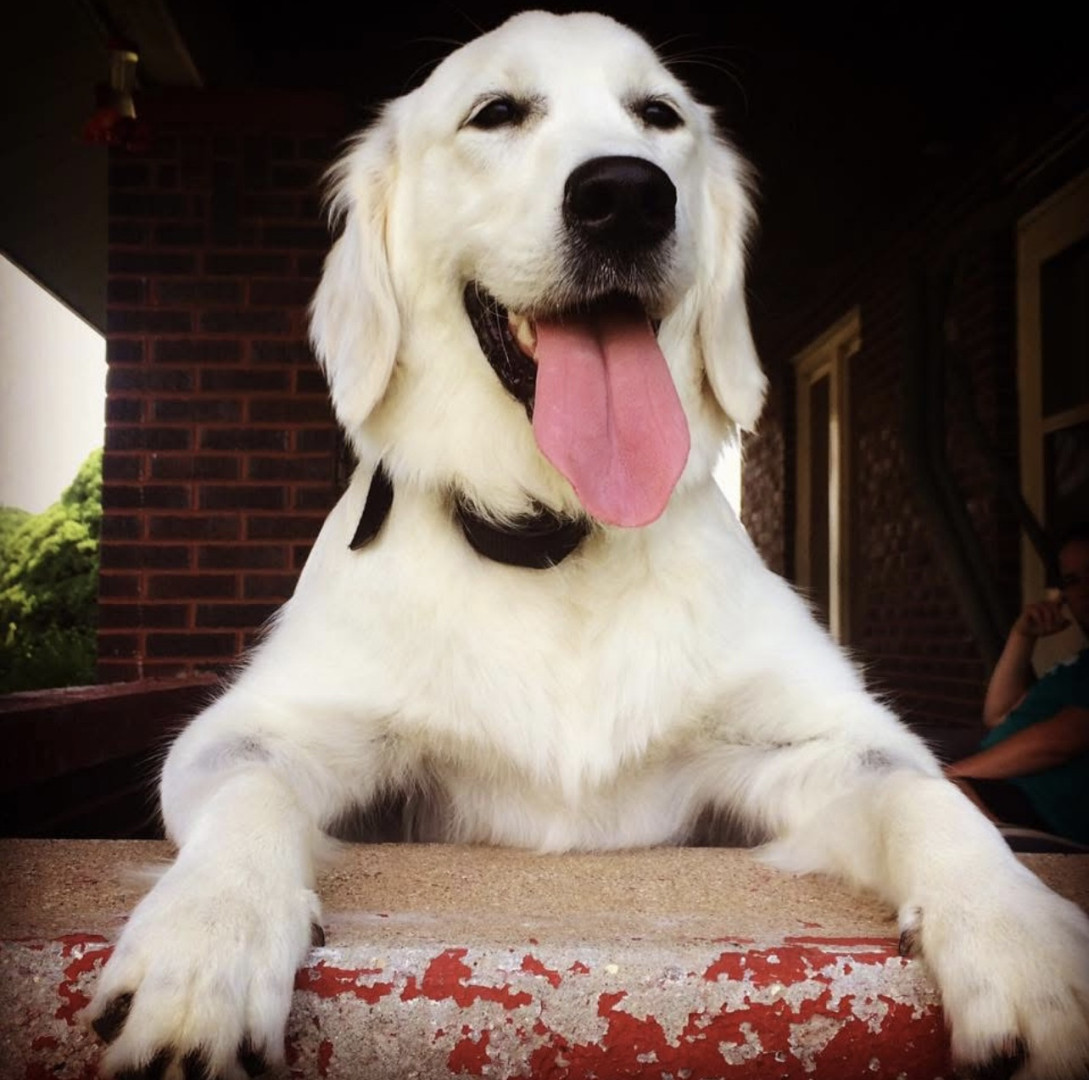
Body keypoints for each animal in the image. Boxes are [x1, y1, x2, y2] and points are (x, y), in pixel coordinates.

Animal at [87, 11, 1089, 1078]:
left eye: (659, 115)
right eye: (493, 112)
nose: (626, 198)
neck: (555, 537)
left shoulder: (818, 747)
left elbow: (935, 800)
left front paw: (1024, 943)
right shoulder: (256, 732)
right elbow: (249, 801)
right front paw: (204, 945)